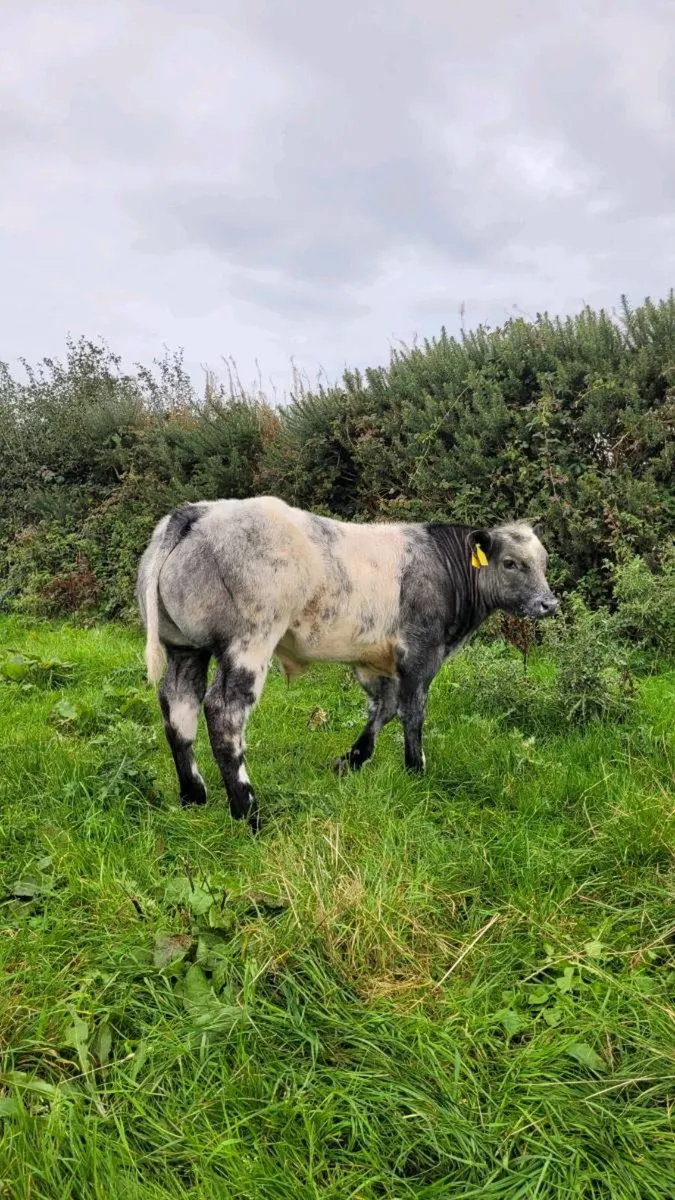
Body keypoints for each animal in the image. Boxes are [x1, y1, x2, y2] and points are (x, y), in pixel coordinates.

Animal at [137, 496, 558, 831]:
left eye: (544, 562)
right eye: (511, 563)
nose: (549, 603)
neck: (444, 566)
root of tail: (200, 511)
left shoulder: (373, 660)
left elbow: (384, 708)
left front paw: (351, 761)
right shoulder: (422, 652)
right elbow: (412, 712)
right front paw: (415, 770)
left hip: (184, 647)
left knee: (178, 706)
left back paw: (194, 796)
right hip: (249, 642)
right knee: (223, 712)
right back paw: (249, 813)